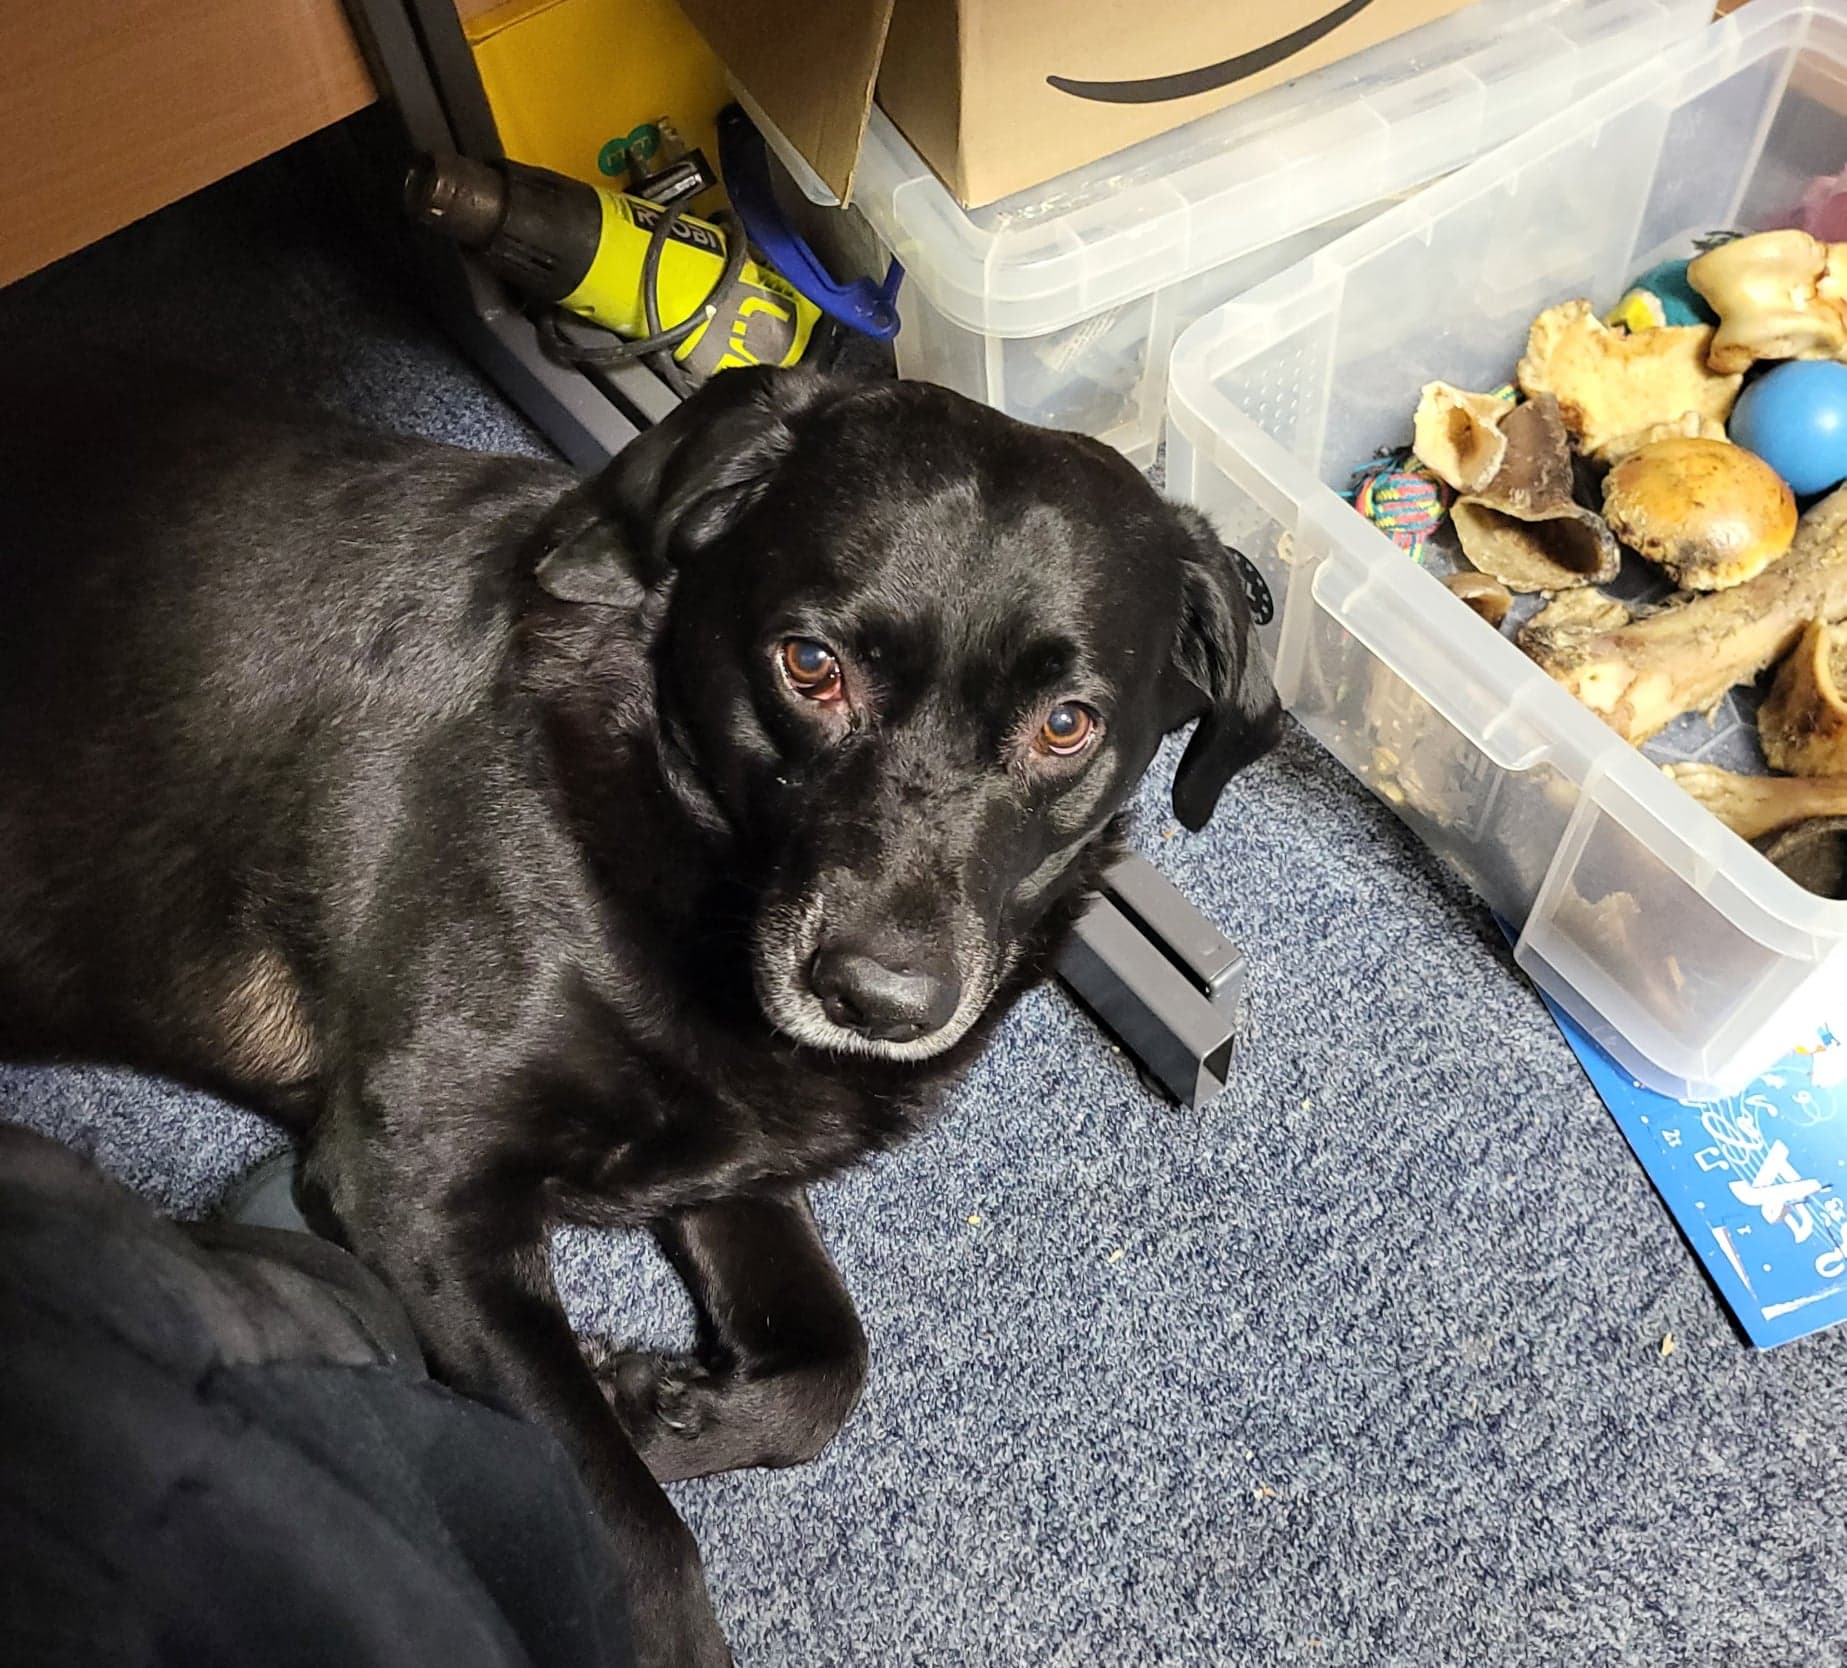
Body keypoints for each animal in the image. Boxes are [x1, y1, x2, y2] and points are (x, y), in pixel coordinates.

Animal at [0, 360, 1278, 1666]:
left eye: (1065, 725)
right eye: (807, 664)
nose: (875, 999)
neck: (675, 816)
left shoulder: (731, 1139)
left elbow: (831, 1364)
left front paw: (655, 1400)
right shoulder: (411, 1178)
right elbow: (629, 1532)